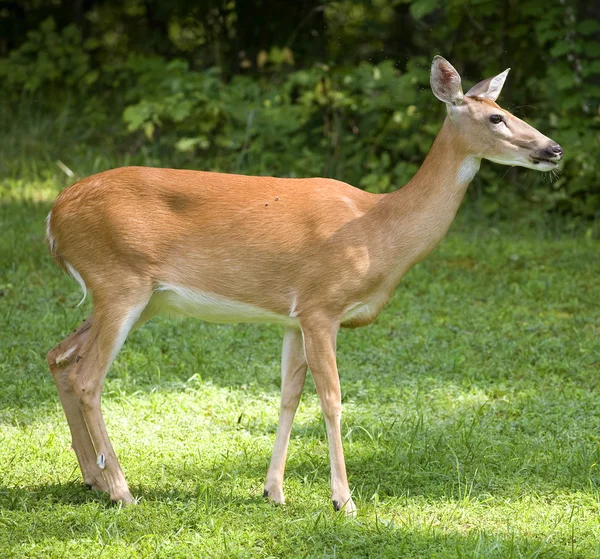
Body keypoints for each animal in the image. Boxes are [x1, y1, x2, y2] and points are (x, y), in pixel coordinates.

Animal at [45, 58, 564, 516]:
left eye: (512, 109)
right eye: (497, 116)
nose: (554, 148)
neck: (378, 229)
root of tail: (54, 216)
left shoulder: (292, 319)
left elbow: (288, 395)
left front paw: (273, 492)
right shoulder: (320, 306)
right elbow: (332, 400)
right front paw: (344, 501)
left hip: (137, 297)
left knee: (60, 356)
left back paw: (93, 479)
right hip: (119, 281)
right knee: (88, 377)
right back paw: (121, 491)